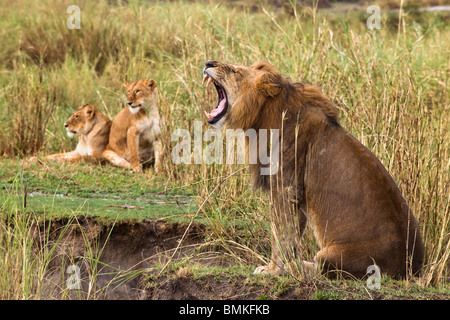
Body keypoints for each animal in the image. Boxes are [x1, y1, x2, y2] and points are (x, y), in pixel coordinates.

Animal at [202, 60, 424, 280]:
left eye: (235, 71)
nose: (209, 62)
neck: (264, 117)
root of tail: (410, 269)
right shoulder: (297, 195)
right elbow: (292, 233)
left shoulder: (284, 188)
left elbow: (280, 234)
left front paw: (273, 270)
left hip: (331, 254)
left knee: (321, 269)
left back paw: (296, 267)